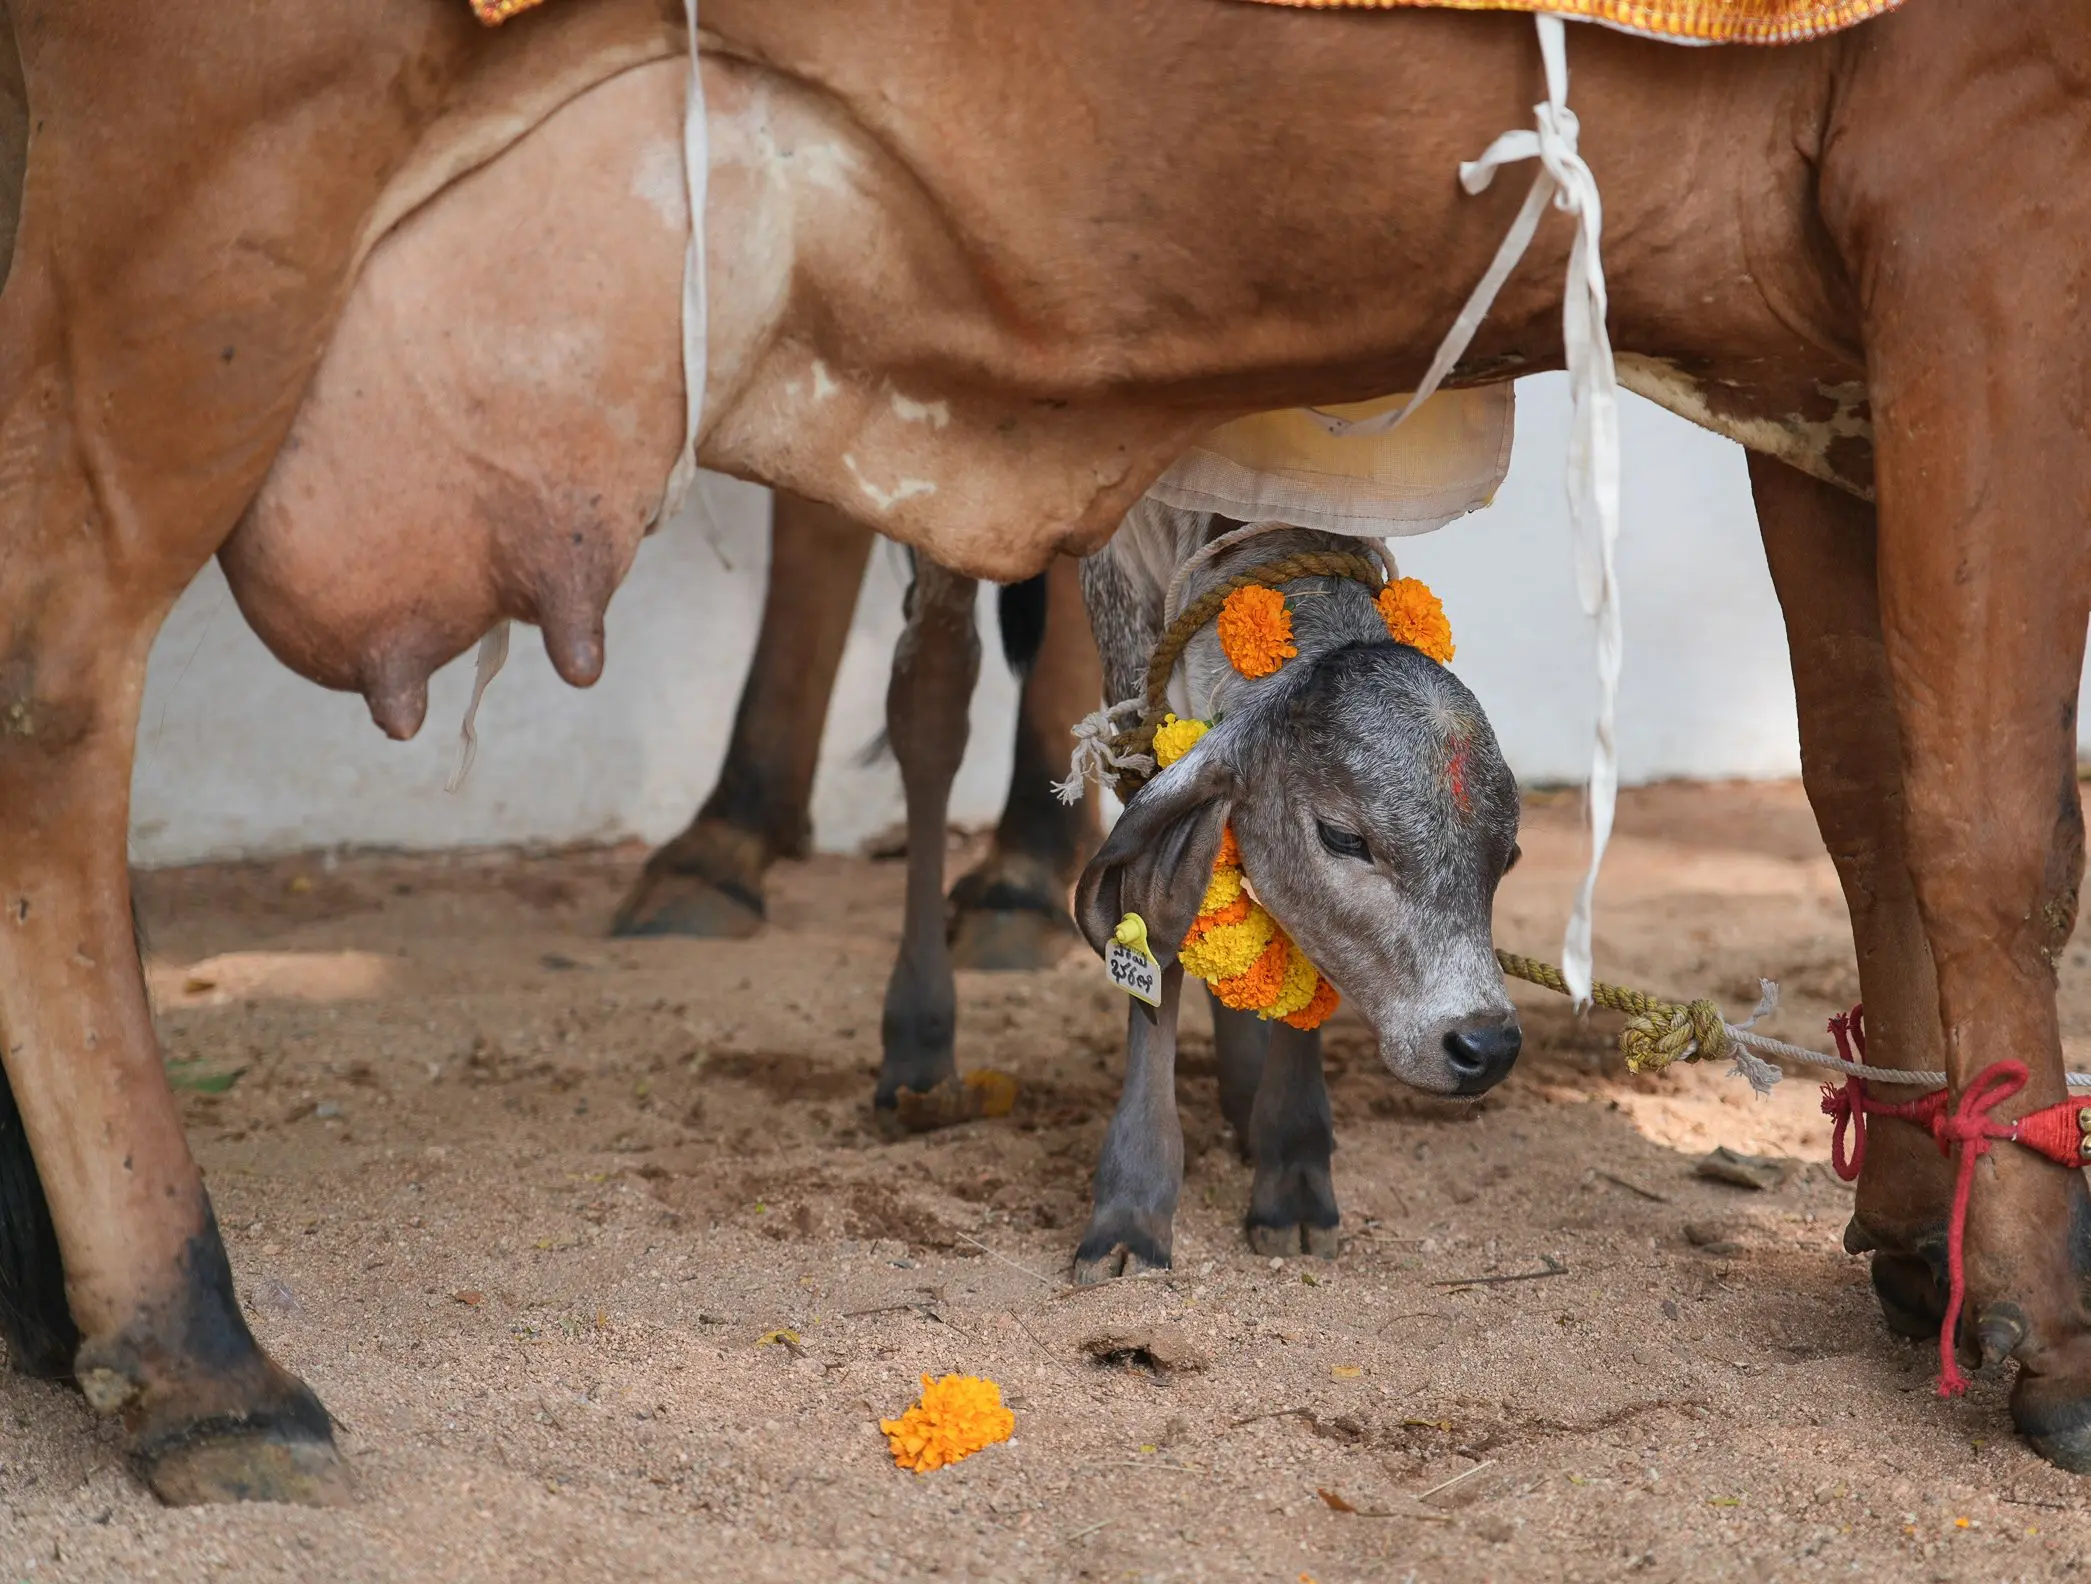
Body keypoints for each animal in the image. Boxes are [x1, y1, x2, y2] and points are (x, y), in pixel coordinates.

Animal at [0, 0, 2086, 1501]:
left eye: (1509, 852)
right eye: (1348, 829)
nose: (1488, 1044)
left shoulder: (1821, 349)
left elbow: (1865, 779)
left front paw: (1917, 1233)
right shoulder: (1980, 187)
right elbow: (1993, 810)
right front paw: (2042, 1312)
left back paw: (52, 1306)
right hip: (194, 222)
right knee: (57, 698)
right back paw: (196, 1351)